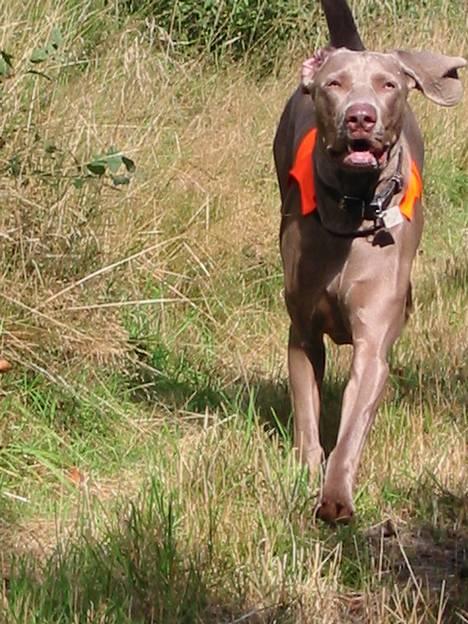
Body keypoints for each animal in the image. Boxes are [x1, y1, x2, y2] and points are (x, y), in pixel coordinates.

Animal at [272, 0, 466, 524]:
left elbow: (353, 423)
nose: (360, 117)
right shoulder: (302, 333)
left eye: (388, 84)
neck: (354, 207)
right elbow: (307, 412)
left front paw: (336, 496)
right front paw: (305, 471)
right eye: (334, 84)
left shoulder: (373, 343)